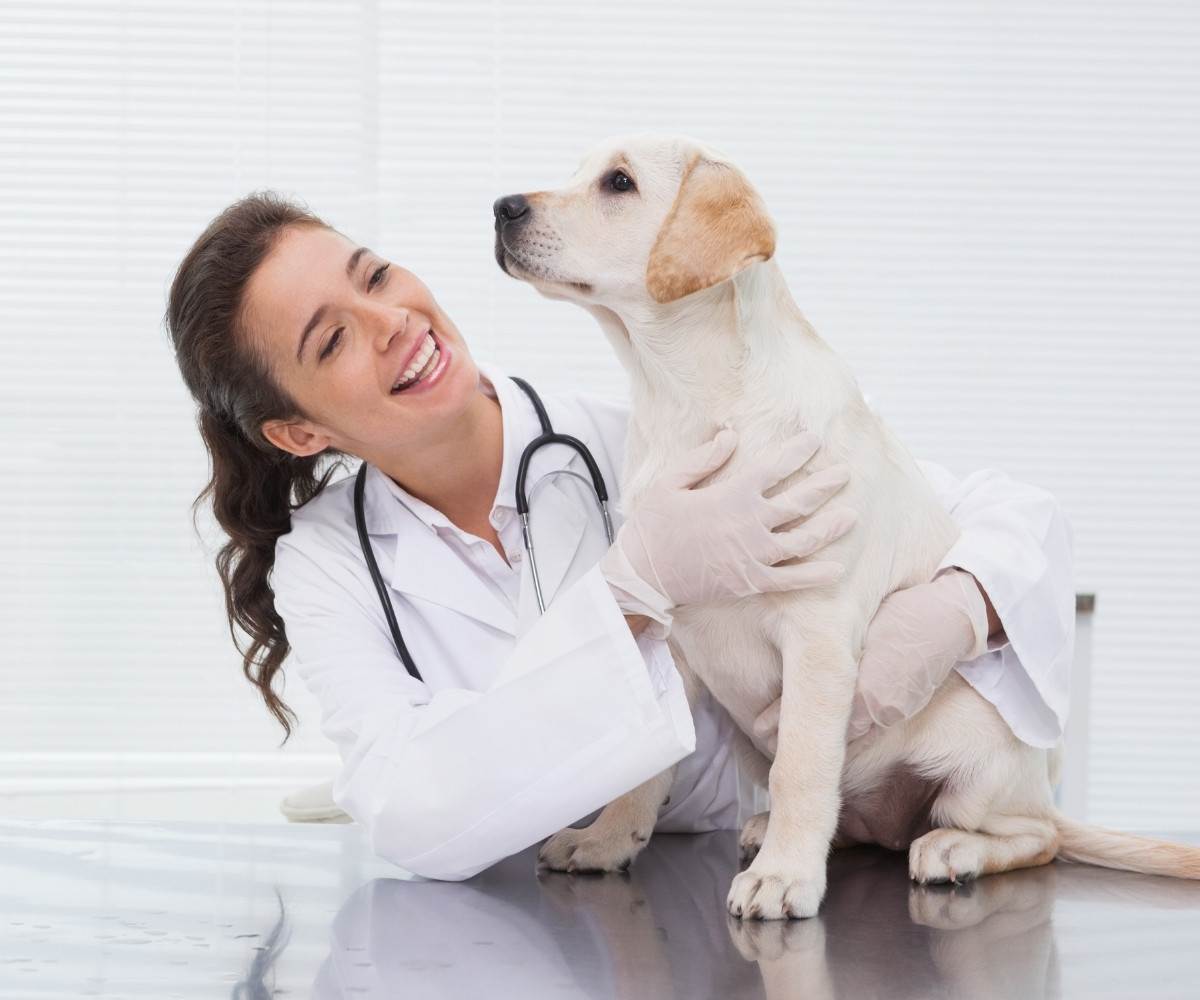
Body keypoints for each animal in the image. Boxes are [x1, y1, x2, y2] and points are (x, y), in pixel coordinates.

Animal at [489, 134, 1200, 921]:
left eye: (618, 183)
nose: (501, 207)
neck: (689, 404)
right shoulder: (667, 633)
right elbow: (647, 769)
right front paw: (607, 840)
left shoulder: (819, 631)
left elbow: (802, 762)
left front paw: (784, 878)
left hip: (982, 754)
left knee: (1033, 836)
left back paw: (948, 849)